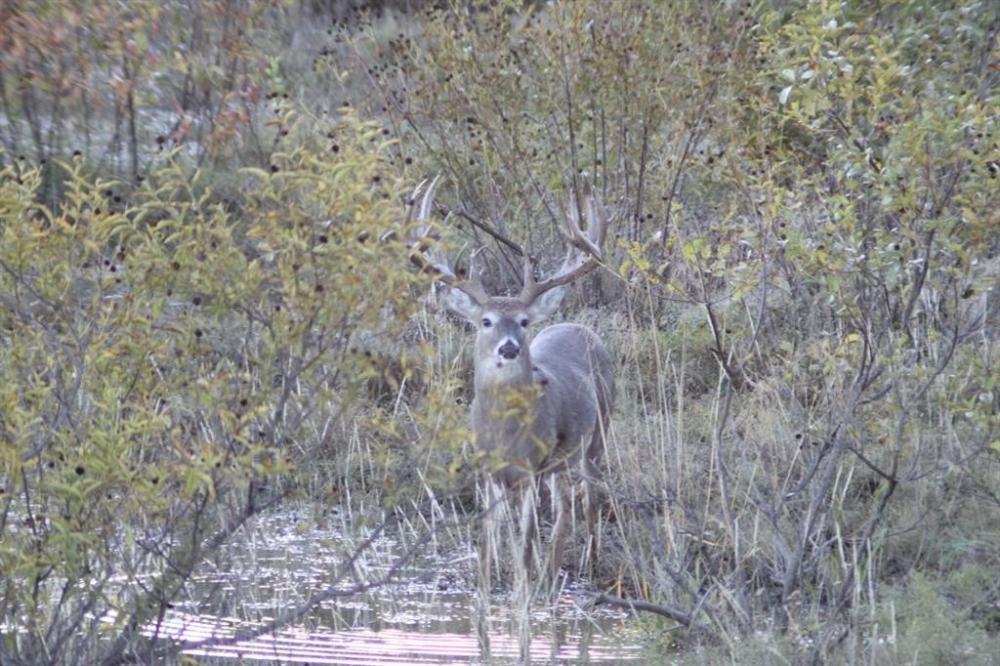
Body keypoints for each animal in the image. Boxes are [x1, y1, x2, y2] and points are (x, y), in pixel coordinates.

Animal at [408, 176, 612, 588]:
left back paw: (586, 561)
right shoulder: (487, 468)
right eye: (485, 321)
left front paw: (523, 582)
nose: (509, 348)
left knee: (588, 499)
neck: (505, 431)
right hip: (560, 462)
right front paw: (488, 582)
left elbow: (527, 539)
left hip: (596, 436)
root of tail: (580, 327)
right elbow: (490, 539)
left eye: (523, 321)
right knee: (565, 507)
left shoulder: (532, 464)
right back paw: (553, 570)